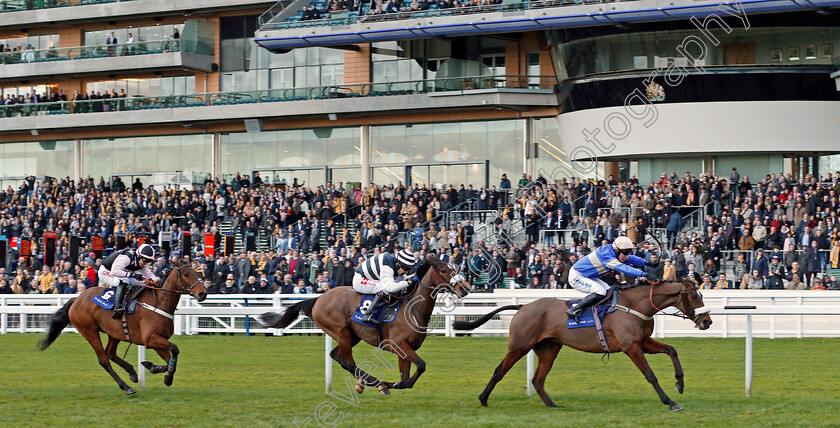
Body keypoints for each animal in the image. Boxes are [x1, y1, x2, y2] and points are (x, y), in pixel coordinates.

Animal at [38, 260, 210, 394]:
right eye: (186, 274)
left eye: (197, 273)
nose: (203, 293)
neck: (159, 303)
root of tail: (77, 299)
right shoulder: (150, 339)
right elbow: (175, 349)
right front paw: (162, 374)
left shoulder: (157, 341)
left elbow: (170, 360)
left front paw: (156, 369)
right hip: (89, 331)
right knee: (104, 360)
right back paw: (126, 387)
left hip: (114, 332)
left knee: (110, 353)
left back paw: (132, 373)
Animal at [260, 254, 472, 394]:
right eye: (444, 270)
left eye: (455, 268)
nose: (465, 288)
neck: (413, 308)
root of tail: (319, 298)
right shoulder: (398, 344)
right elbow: (421, 365)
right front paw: (383, 385)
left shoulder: (405, 349)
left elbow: (406, 381)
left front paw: (390, 385)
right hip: (341, 331)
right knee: (347, 361)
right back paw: (370, 382)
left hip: (352, 335)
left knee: (336, 356)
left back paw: (369, 382)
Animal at [456, 280, 712, 412]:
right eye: (693, 297)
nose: (707, 321)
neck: (636, 305)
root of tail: (523, 307)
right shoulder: (631, 346)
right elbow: (650, 375)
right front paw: (670, 402)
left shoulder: (643, 342)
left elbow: (672, 350)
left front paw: (679, 384)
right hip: (519, 346)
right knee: (500, 371)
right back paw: (483, 399)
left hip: (549, 349)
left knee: (538, 380)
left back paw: (553, 405)